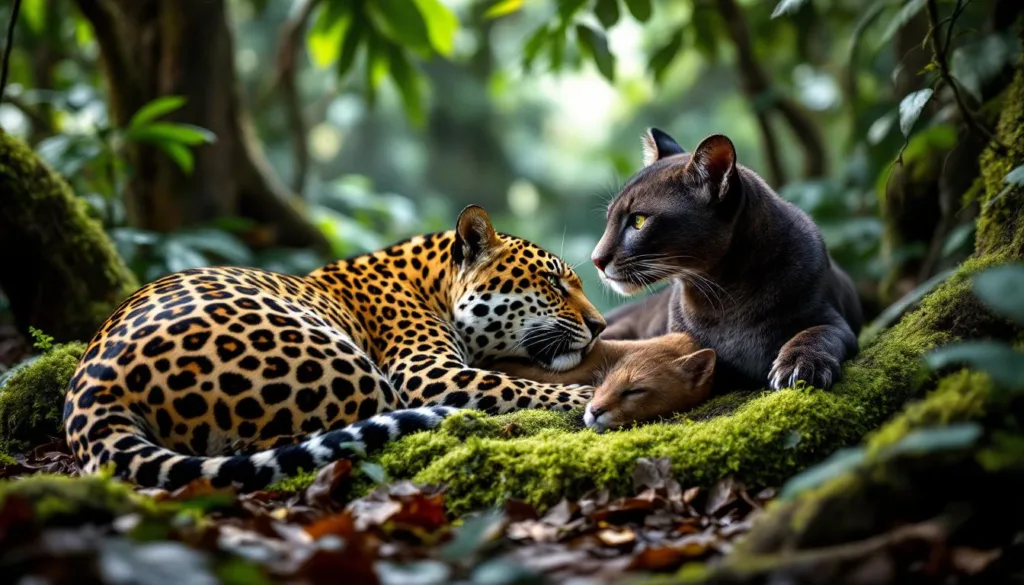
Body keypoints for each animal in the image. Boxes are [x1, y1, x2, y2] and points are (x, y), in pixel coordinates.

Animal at [63, 205, 607, 491]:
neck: (432, 283)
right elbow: (516, 385)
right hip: (349, 371)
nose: (600, 326)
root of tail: (93, 383)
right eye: (554, 283)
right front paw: (583, 399)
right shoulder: (425, 369)